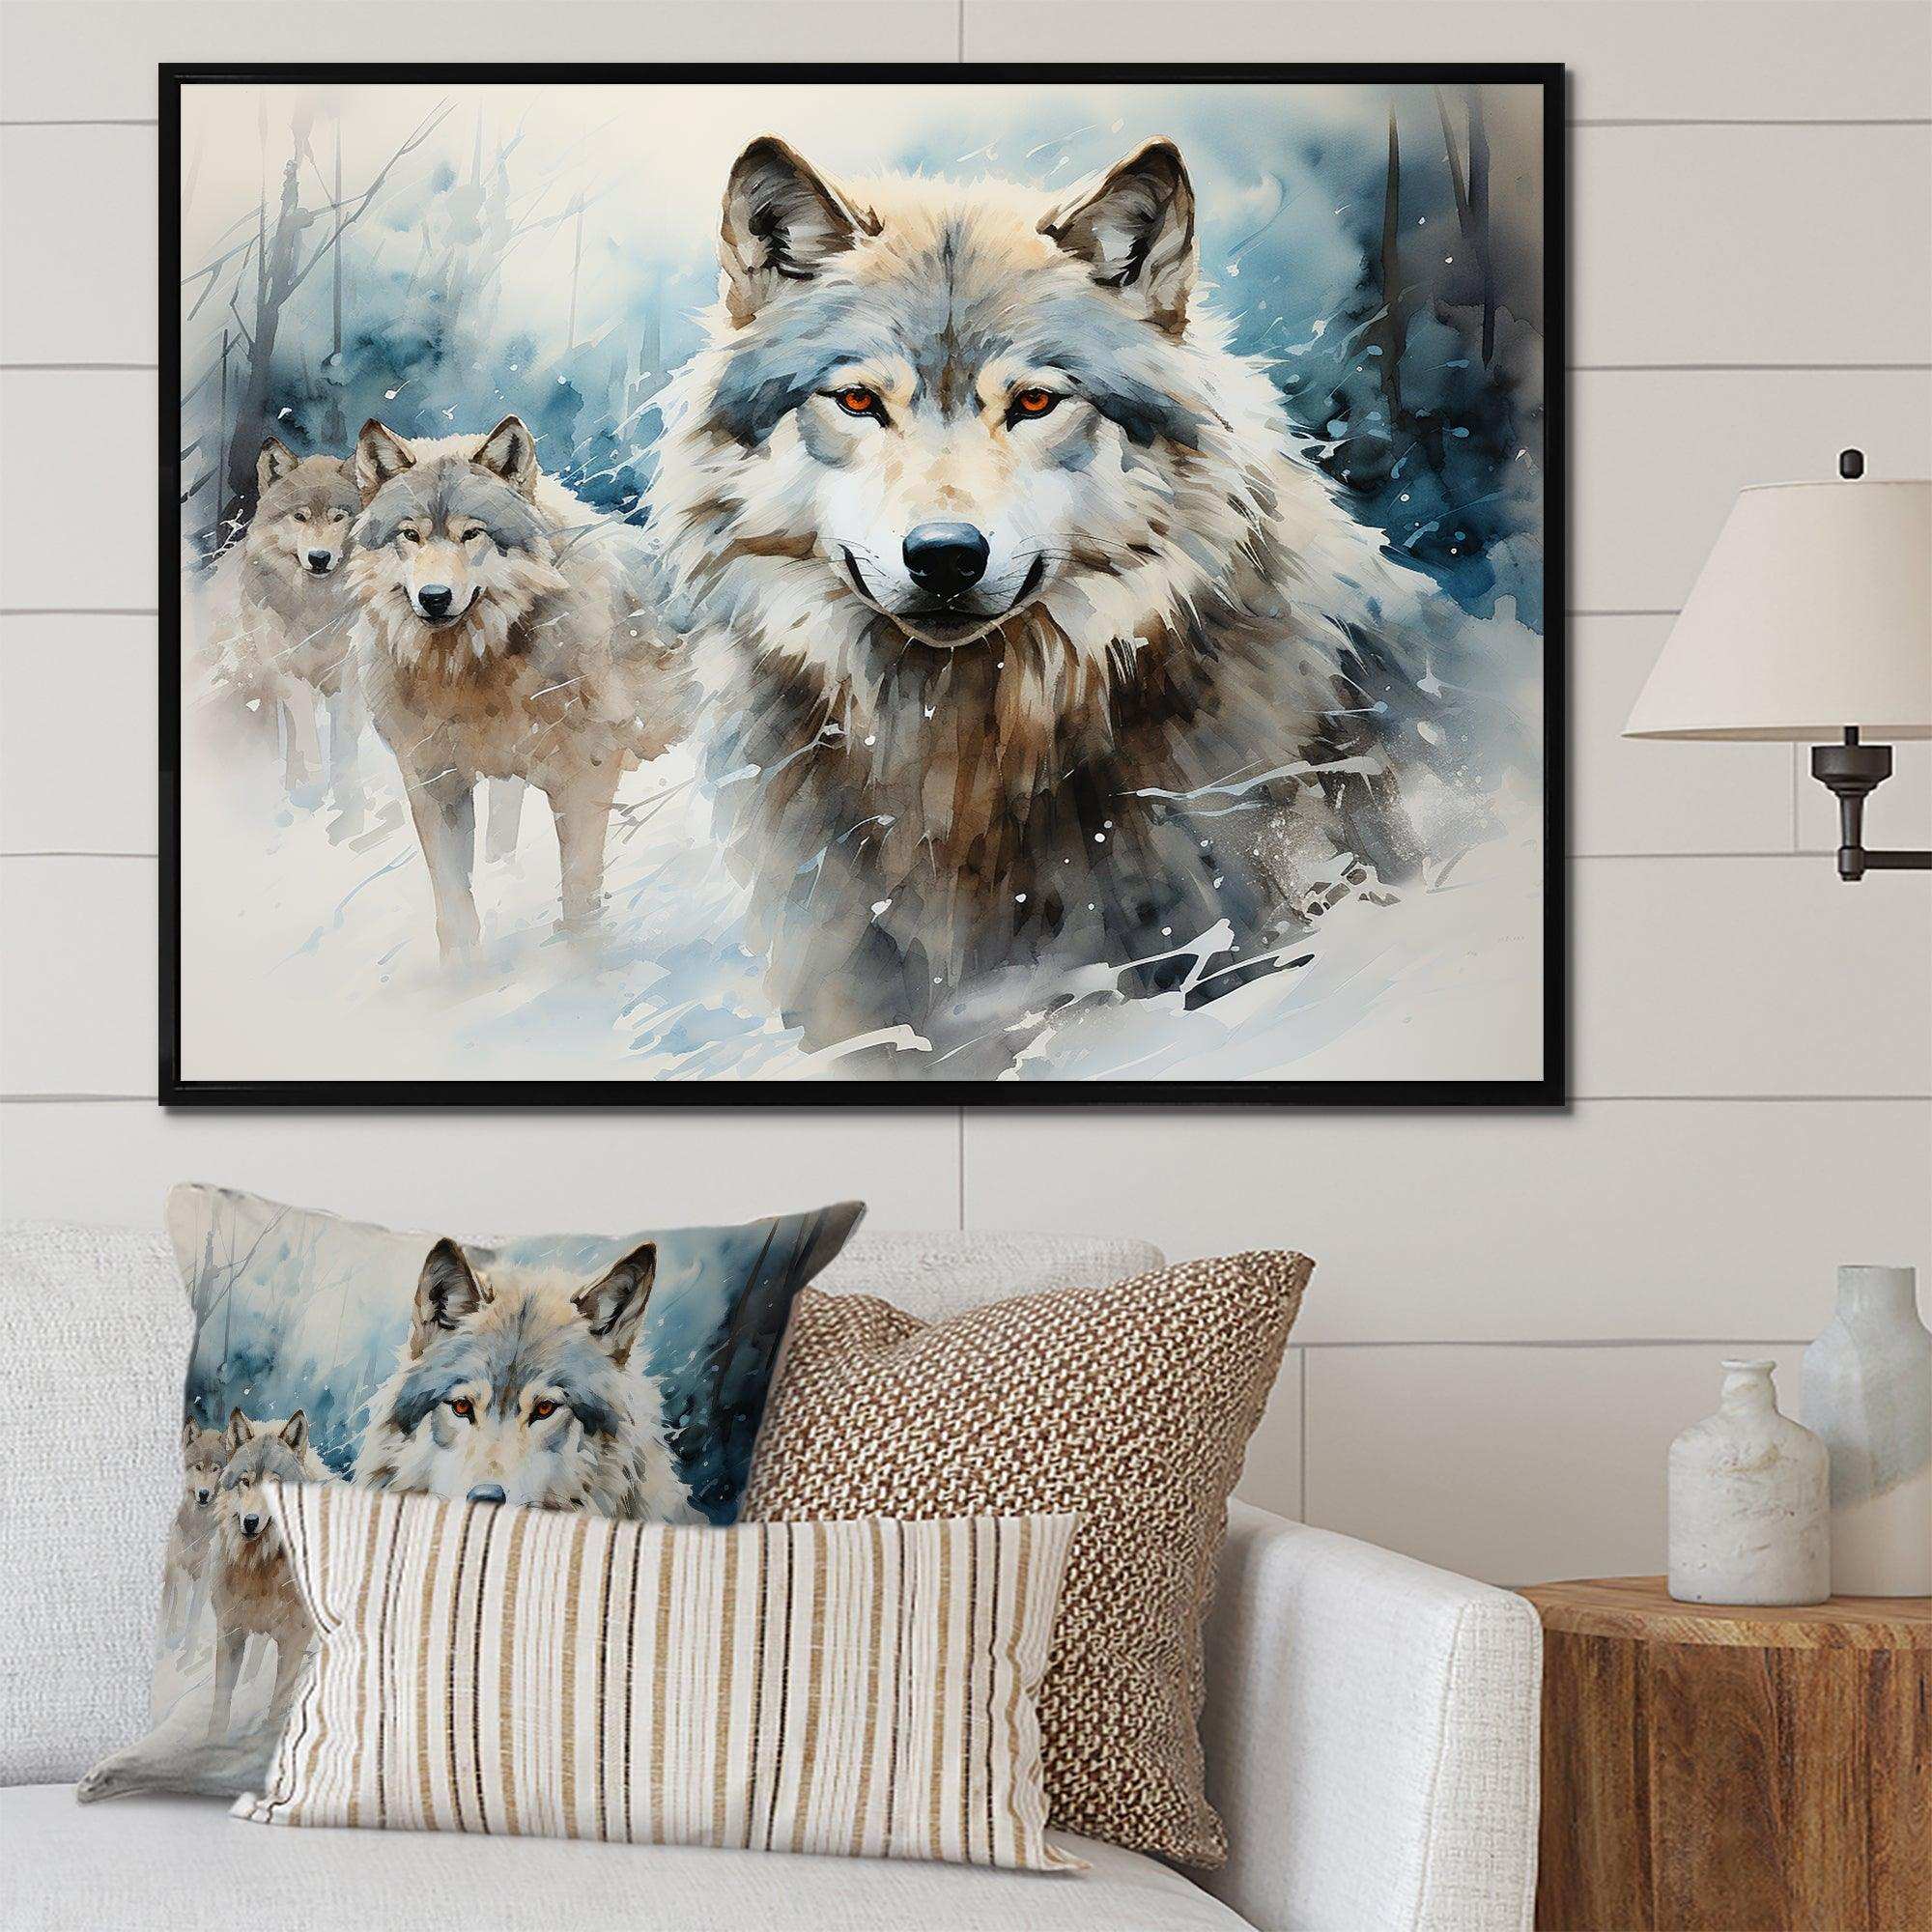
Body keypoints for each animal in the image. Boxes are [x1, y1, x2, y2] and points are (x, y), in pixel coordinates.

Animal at [160, 1420, 226, 1647]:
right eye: (197, 1467)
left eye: (215, 1469)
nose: (203, 1494)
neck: (198, 1526)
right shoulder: (180, 1567)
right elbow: (179, 1607)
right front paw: (174, 1636)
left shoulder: (203, 1575)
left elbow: (194, 1615)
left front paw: (188, 1643)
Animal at [204, 1409, 328, 1745]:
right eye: (245, 1482)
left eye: (275, 1485)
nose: (250, 1522)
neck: (260, 1566)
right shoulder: (230, 1630)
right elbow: (221, 1699)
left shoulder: (295, 1638)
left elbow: (278, 1701)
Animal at [228, 437, 369, 832]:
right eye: (300, 517)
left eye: (338, 517)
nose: (319, 558)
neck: (316, 609)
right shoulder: (288, 670)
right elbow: (304, 729)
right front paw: (311, 783)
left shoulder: (347, 674)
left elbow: (345, 736)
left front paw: (349, 800)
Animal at [347, 415, 689, 960]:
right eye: (410, 536)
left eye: (472, 534)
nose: (434, 597)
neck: (471, 667)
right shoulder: (433, 780)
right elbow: (453, 899)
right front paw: (462, 975)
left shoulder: (585, 777)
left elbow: (579, 892)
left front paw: (584, 964)